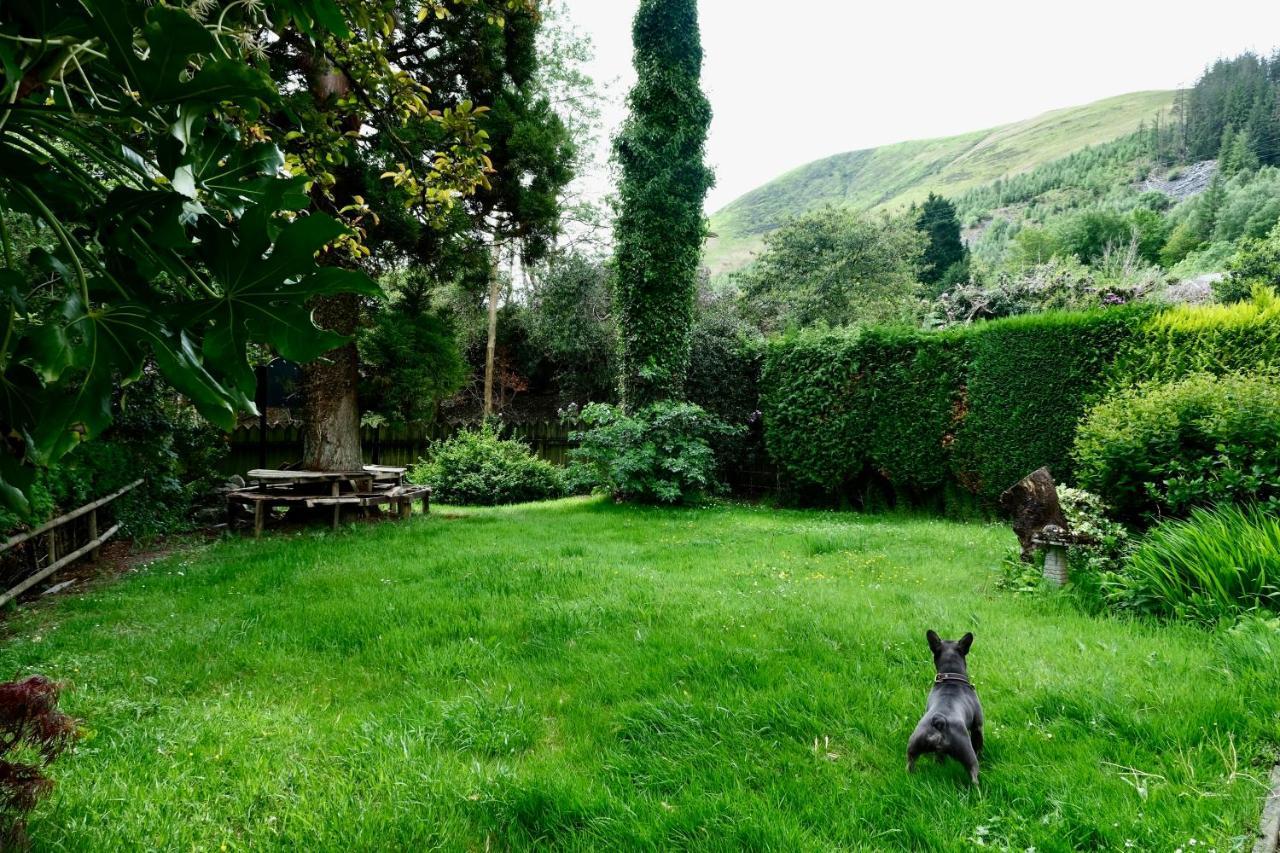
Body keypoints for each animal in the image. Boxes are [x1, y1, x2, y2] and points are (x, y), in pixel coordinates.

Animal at [906, 625, 983, 783]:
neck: (951, 677)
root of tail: (939, 721)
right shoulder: (978, 726)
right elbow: (979, 745)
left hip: (914, 746)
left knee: (911, 764)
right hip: (967, 753)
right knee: (973, 773)